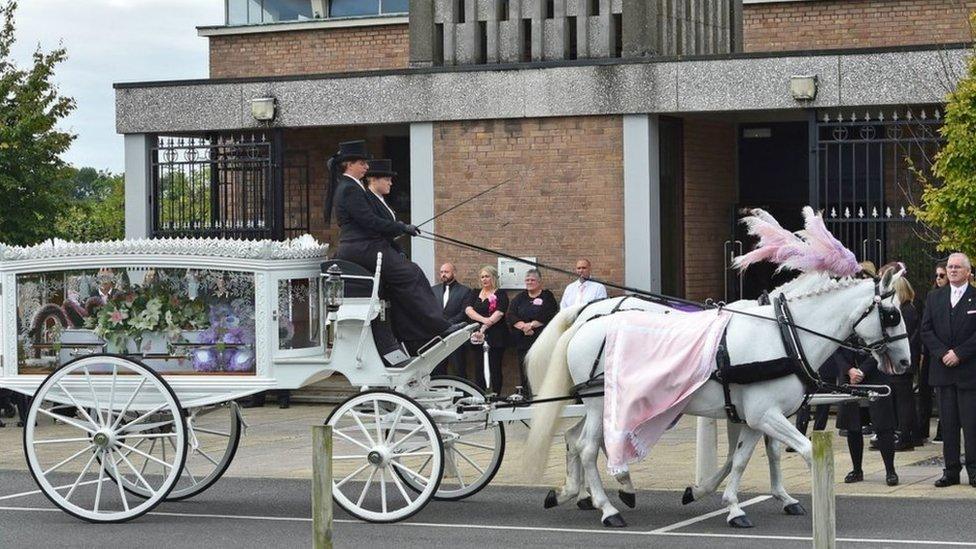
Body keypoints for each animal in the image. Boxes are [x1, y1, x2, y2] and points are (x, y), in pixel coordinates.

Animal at [528, 268, 916, 528]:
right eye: (892, 314)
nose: (905, 363)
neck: (784, 335)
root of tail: (586, 322)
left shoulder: (756, 417)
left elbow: (744, 458)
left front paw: (732, 502)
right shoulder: (763, 414)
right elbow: (805, 450)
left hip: (598, 403)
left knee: (574, 439)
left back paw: (579, 493)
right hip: (600, 404)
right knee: (588, 447)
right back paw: (608, 507)